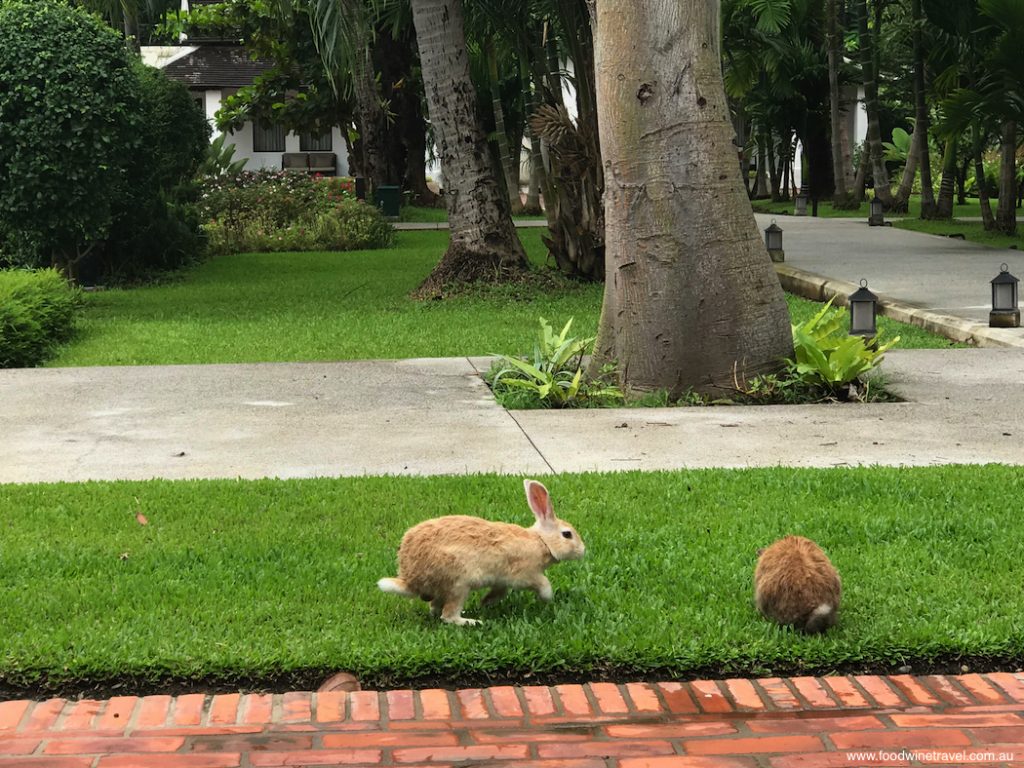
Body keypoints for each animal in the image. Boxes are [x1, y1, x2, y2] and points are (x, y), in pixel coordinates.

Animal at [376, 481, 585, 626]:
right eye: (567, 534)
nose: (583, 550)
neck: (542, 541)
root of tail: (410, 578)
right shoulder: (526, 574)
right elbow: (544, 583)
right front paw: (548, 598)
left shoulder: (502, 581)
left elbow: (499, 592)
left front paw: (485, 603)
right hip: (458, 583)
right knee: (448, 616)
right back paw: (472, 622)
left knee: (435, 608)